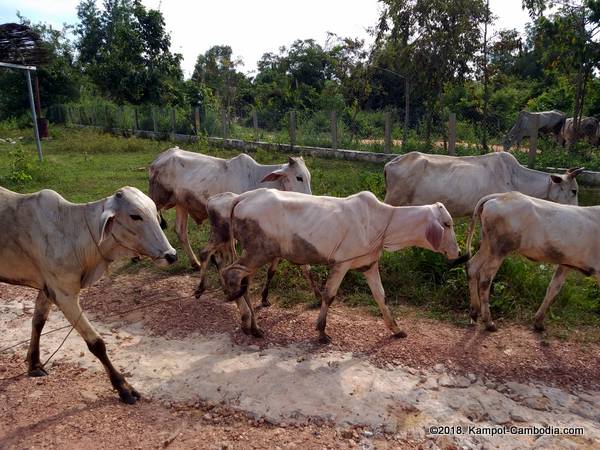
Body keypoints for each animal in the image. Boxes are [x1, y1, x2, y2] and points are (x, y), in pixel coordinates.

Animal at [0, 186, 177, 404]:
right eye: (135, 216)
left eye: (154, 211)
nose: (171, 255)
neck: (72, 230)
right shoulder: (65, 295)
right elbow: (96, 343)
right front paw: (124, 387)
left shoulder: (47, 289)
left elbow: (38, 322)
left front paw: (34, 364)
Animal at [207, 188, 460, 342]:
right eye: (447, 224)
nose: (458, 253)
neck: (384, 223)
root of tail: (243, 197)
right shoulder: (342, 263)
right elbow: (329, 296)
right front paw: (321, 331)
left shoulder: (369, 264)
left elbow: (381, 297)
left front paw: (396, 329)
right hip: (259, 251)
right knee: (231, 275)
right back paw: (247, 323)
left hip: (254, 253)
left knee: (243, 281)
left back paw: (253, 326)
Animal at [464, 192, 600, 332]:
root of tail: (501, 195)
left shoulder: (566, 264)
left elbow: (553, 289)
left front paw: (538, 322)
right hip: (500, 248)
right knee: (485, 278)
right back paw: (489, 322)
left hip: (488, 244)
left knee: (472, 267)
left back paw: (474, 312)